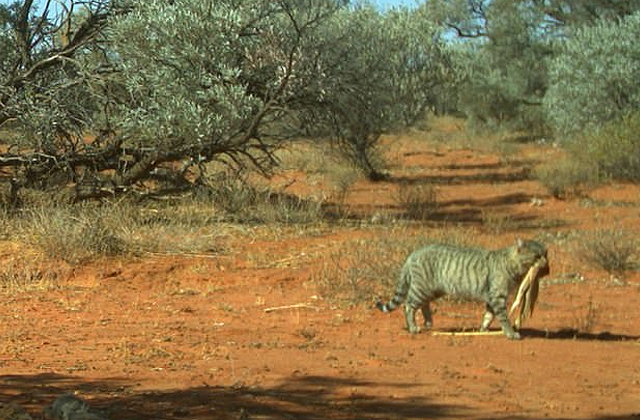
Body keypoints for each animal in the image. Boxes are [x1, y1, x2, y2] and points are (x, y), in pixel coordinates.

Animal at [376, 238, 552, 340]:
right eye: (537, 256)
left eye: (546, 255)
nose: (547, 266)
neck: (511, 264)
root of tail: (413, 253)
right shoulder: (497, 297)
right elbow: (503, 318)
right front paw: (510, 333)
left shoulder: (491, 298)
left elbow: (488, 316)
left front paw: (483, 330)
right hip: (422, 289)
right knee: (408, 305)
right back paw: (413, 327)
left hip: (432, 291)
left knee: (423, 305)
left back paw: (428, 322)